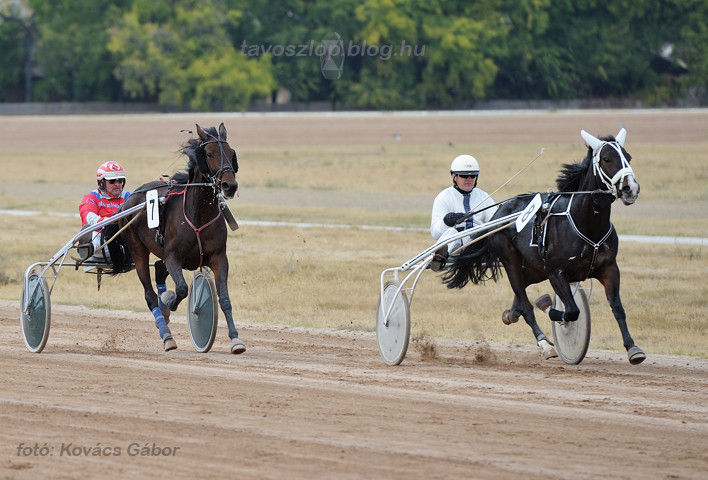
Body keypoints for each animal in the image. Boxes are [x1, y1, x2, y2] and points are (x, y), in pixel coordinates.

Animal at [119, 123, 246, 352]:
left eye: (231, 153)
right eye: (209, 153)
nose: (229, 186)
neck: (198, 213)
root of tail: (130, 198)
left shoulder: (219, 258)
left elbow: (224, 298)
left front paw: (235, 339)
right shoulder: (173, 258)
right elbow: (182, 289)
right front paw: (169, 303)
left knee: (159, 269)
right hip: (137, 250)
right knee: (150, 295)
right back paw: (167, 335)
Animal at [442, 127, 648, 364]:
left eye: (628, 157)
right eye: (606, 159)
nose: (631, 188)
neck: (586, 224)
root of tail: (499, 212)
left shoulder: (609, 269)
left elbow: (618, 308)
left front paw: (633, 348)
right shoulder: (556, 272)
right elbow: (571, 311)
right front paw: (551, 310)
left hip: (535, 267)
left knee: (523, 287)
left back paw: (512, 313)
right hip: (511, 260)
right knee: (525, 301)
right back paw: (544, 342)